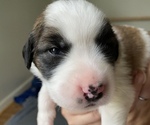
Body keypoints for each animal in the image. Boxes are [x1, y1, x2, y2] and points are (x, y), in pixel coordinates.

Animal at [22, 0, 150, 125]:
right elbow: (43, 96)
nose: (94, 89)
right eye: (54, 50)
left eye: (106, 46)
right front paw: (44, 119)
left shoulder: (119, 97)